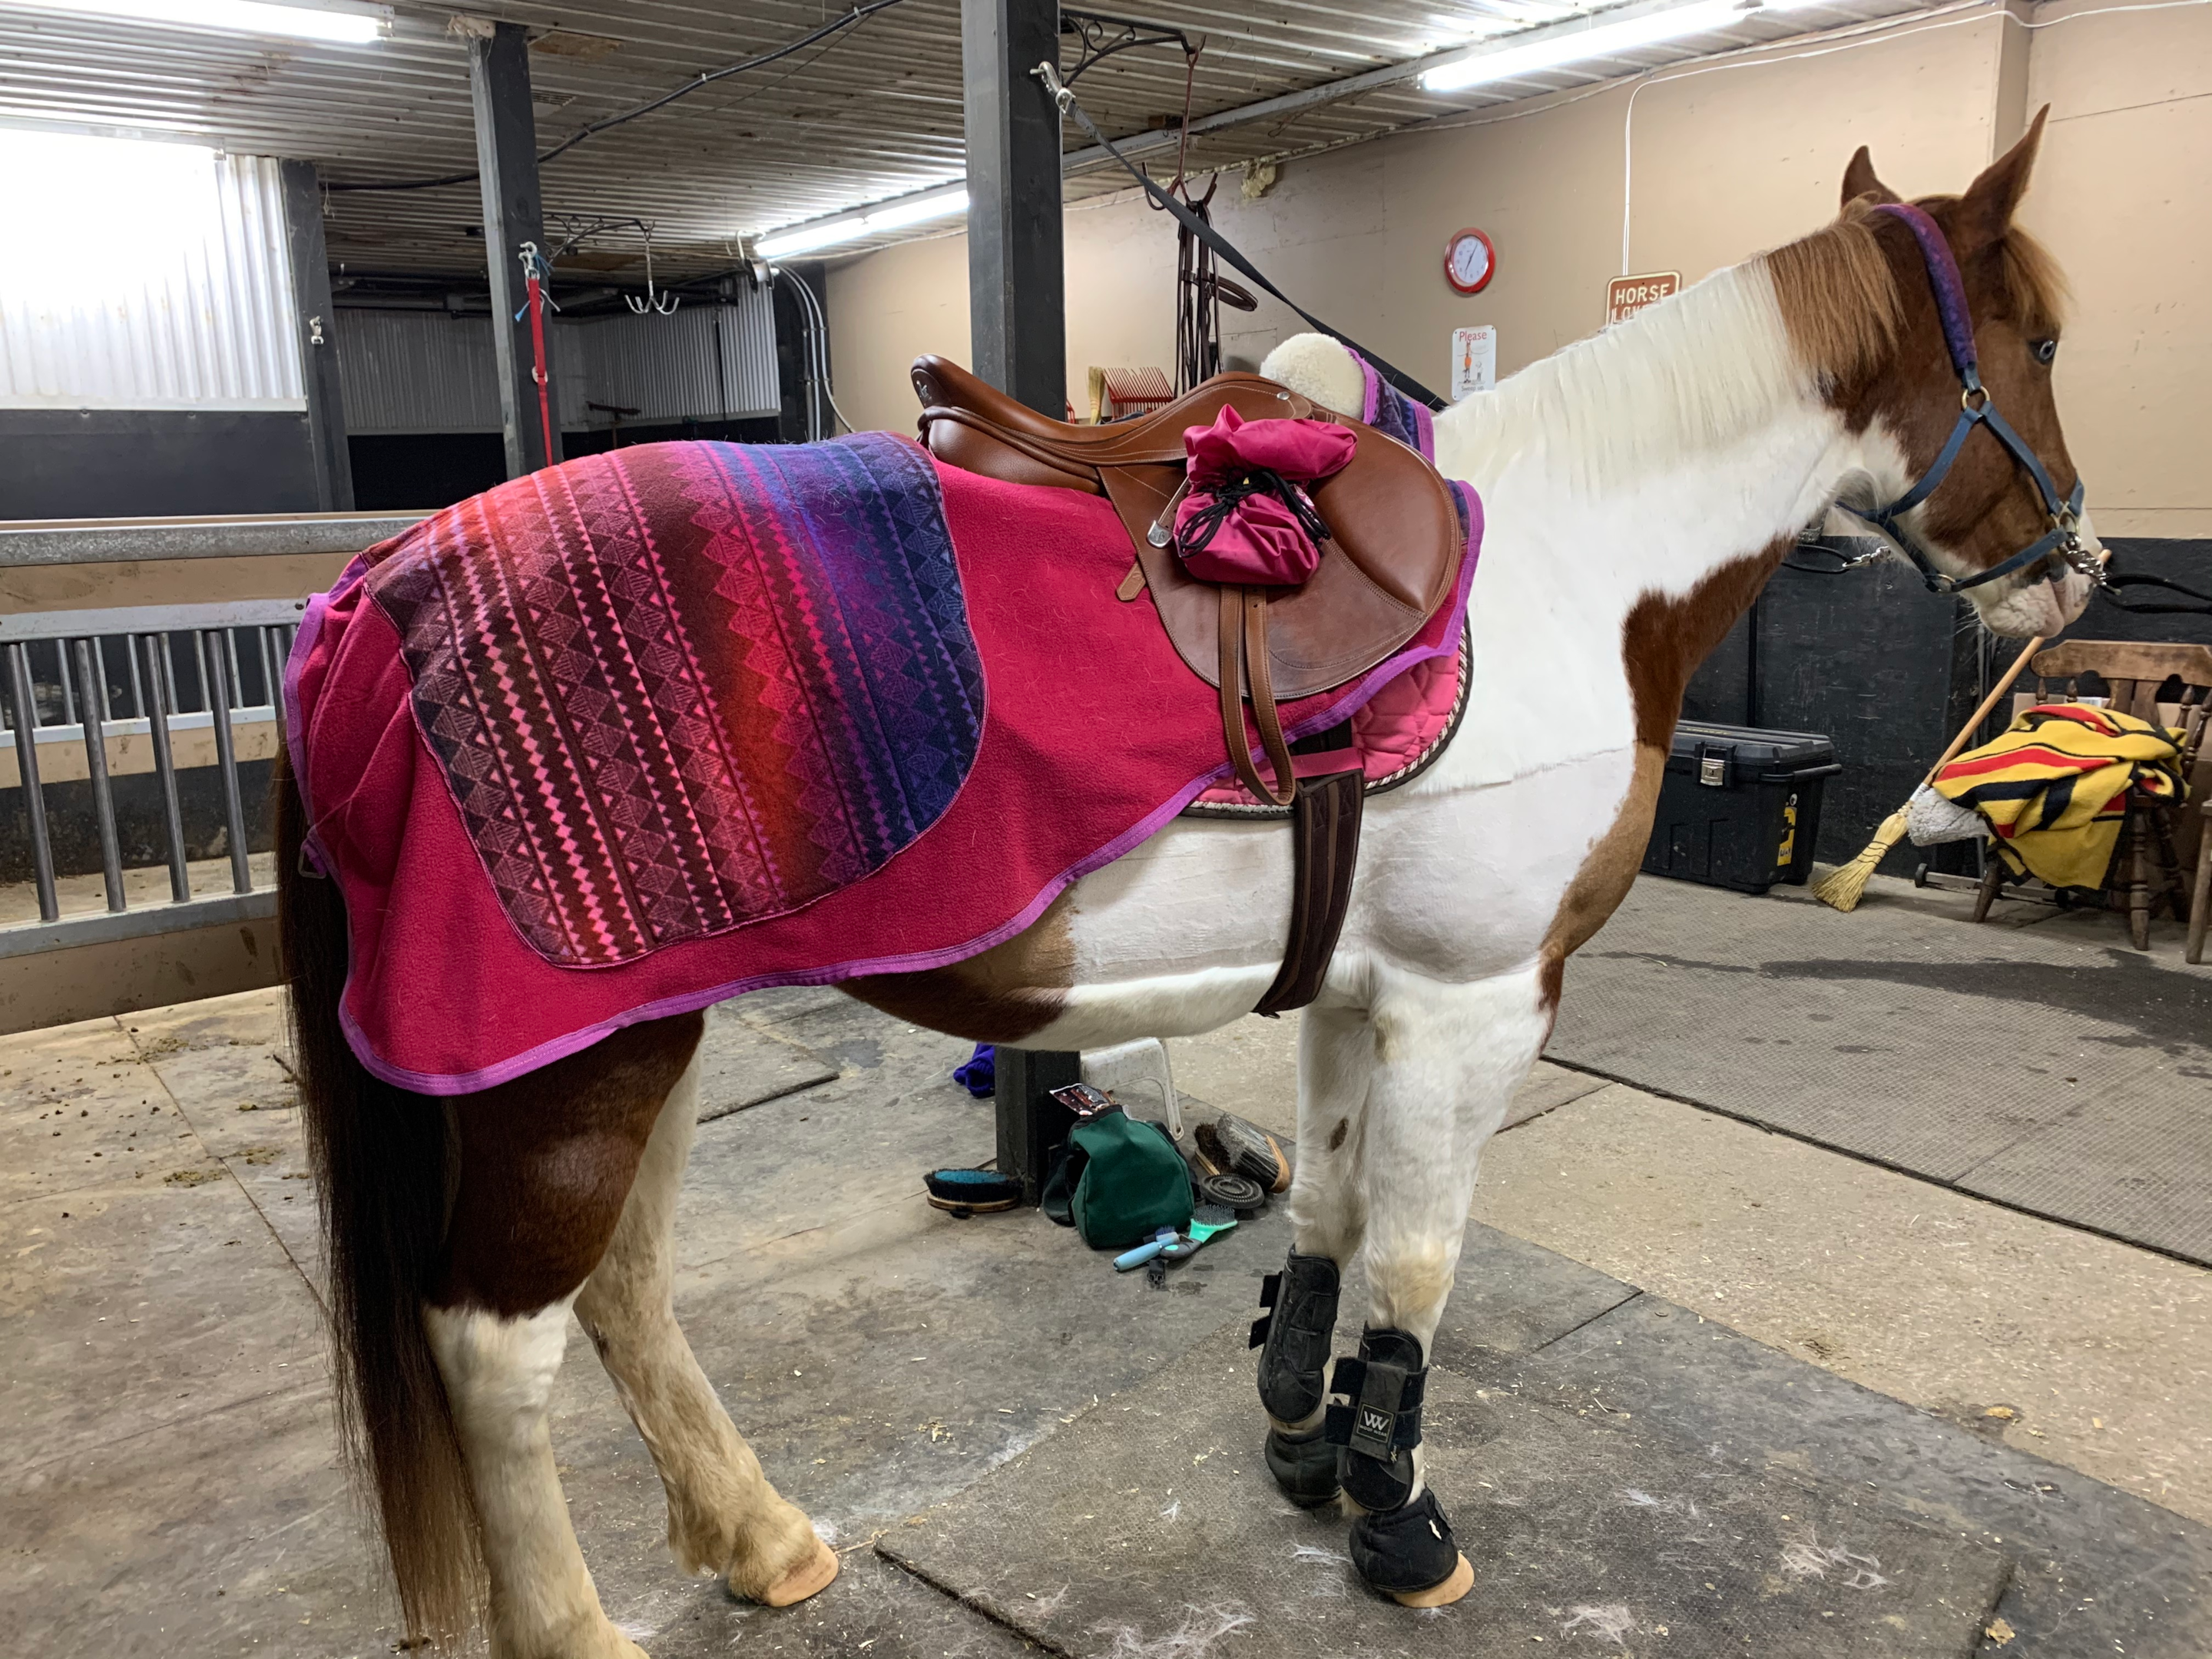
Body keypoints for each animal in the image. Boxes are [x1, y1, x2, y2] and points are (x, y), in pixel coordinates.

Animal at [278, 114, 2093, 1653]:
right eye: (2044, 340)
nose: (2072, 566)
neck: (1574, 565)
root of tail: (381, 589)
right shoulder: (1476, 1005)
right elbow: (1420, 1264)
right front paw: (1400, 1521)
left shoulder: (1361, 993)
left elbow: (1332, 1213)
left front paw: (1304, 1437)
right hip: (570, 1075)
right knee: (496, 1350)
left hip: (641, 1043)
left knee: (629, 1293)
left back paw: (763, 1540)